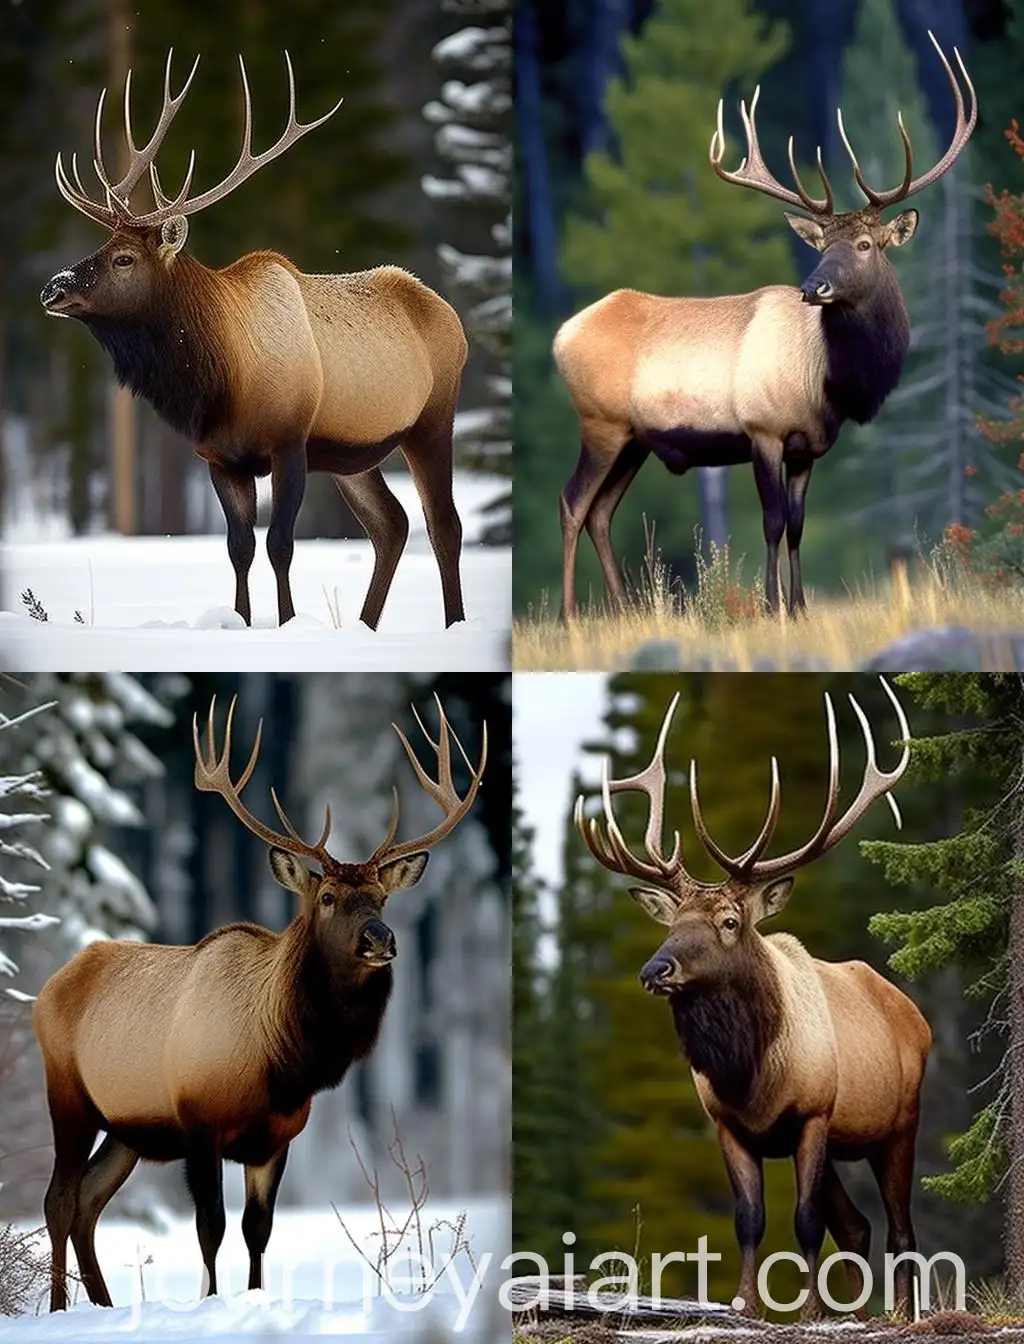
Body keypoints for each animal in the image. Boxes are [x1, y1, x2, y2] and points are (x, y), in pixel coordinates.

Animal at [33, 693, 487, 1311]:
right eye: (327, 897)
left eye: (382, 897)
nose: (381, 938)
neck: (281, 1061)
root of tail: (48, 988)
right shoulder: (199, 1122)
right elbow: (211, 1227)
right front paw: (210, 1302)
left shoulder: (276, 1138)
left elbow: (257, 1230)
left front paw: (252, 1297)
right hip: (69, 1096)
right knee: (59, 1199)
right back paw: (61, 1308)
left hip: (126, 1129)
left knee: (87, 1203)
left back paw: (103, 1305)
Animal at [40, 52, 467, 630]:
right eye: (101, 245)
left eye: (124, 258)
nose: (53, 288)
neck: (223, 378)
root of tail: (452, 317)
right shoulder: (220, 458)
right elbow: (238, 547)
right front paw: (241, 621)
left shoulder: (289, 442)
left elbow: (280, 543)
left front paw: (287, 622)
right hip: (354, 454)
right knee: (393, 524)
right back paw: (364, 624)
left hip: (431, 421)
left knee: (443, 524)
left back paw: (454, 622)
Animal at [554, 32, 976, 618]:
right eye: (821, 246)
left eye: (865, 244)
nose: (813, 287)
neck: (831, 380)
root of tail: (561, 334)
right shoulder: (763, 430)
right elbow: (772, 523)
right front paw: (772, 605)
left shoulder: (809, 447)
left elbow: (797, 527)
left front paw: (798, 607)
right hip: (600, 422)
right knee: (572, 502)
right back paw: (572, 614)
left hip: (634, 439)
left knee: (600, 512)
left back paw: (626, 609)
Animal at [574, 677, 930, 1319]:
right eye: (672, 923)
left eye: (730, 921)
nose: (655, 968)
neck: (752, 1073)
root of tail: (916, 1016)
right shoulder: (730, 1124)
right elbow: (749, 1218)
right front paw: (744, 1305)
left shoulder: (813, 1113)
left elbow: (805, 1219)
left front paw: (809, 1312)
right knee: (858, 1225)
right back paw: (858, 1313)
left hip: (899, 1123)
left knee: (899, 1228)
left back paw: (893, 1314)